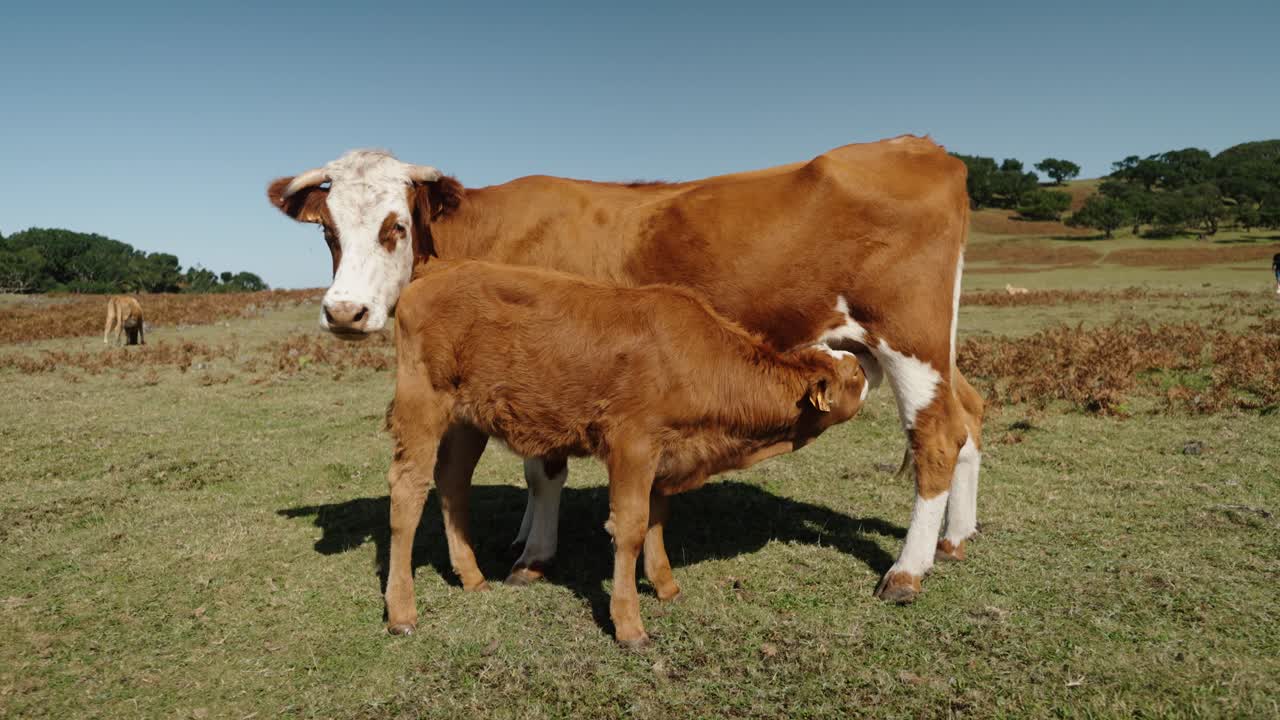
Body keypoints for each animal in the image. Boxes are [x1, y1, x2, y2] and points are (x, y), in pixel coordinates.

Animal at [267, 136, 985, 603]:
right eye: (329, 231)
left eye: (394, 225)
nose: (345, 312)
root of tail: (920, 145)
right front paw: (522, 539)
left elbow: (544, 470)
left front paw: (536, 555)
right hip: (928, 347)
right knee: (971, 417)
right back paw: (955, 540)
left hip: (909, 340)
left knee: (937, 436)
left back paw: (908, 570)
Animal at [385, 259, 868, 644]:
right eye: (852, 376)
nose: (867, 370)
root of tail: (439, 271)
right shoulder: (632, 444)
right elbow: (631, 528)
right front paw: (629, 624)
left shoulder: (666, 453)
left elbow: (657, 519)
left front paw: (666, 585)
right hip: (421, 404)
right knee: (408, 493)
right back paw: (402, 611)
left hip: (467, 420)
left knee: (452, 485)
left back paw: (471, 576)